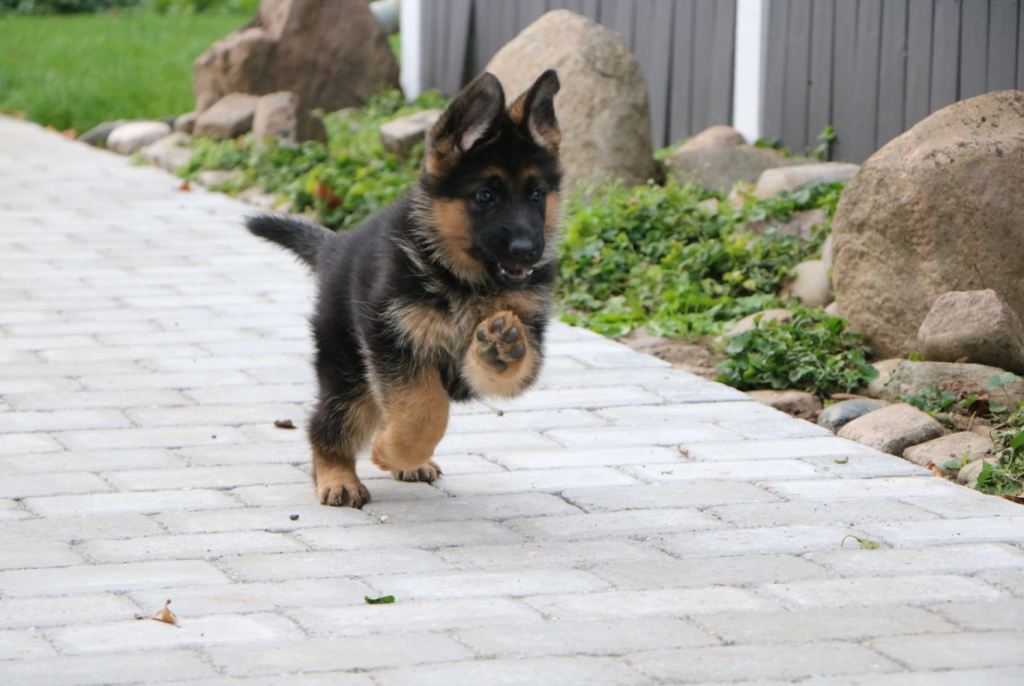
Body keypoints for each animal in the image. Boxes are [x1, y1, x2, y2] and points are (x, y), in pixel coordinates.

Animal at [246, 70, 563, 508]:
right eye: (484, 196)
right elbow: (424, 407)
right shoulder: (392, 340)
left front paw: (500, 349)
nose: (528, 251)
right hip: (349, 370)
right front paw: (392, 449)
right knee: (328, 422)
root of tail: (335, 246)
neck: (463, 279)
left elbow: (502, 372)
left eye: (536, 195)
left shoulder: (521, 333)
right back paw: (337, 476)